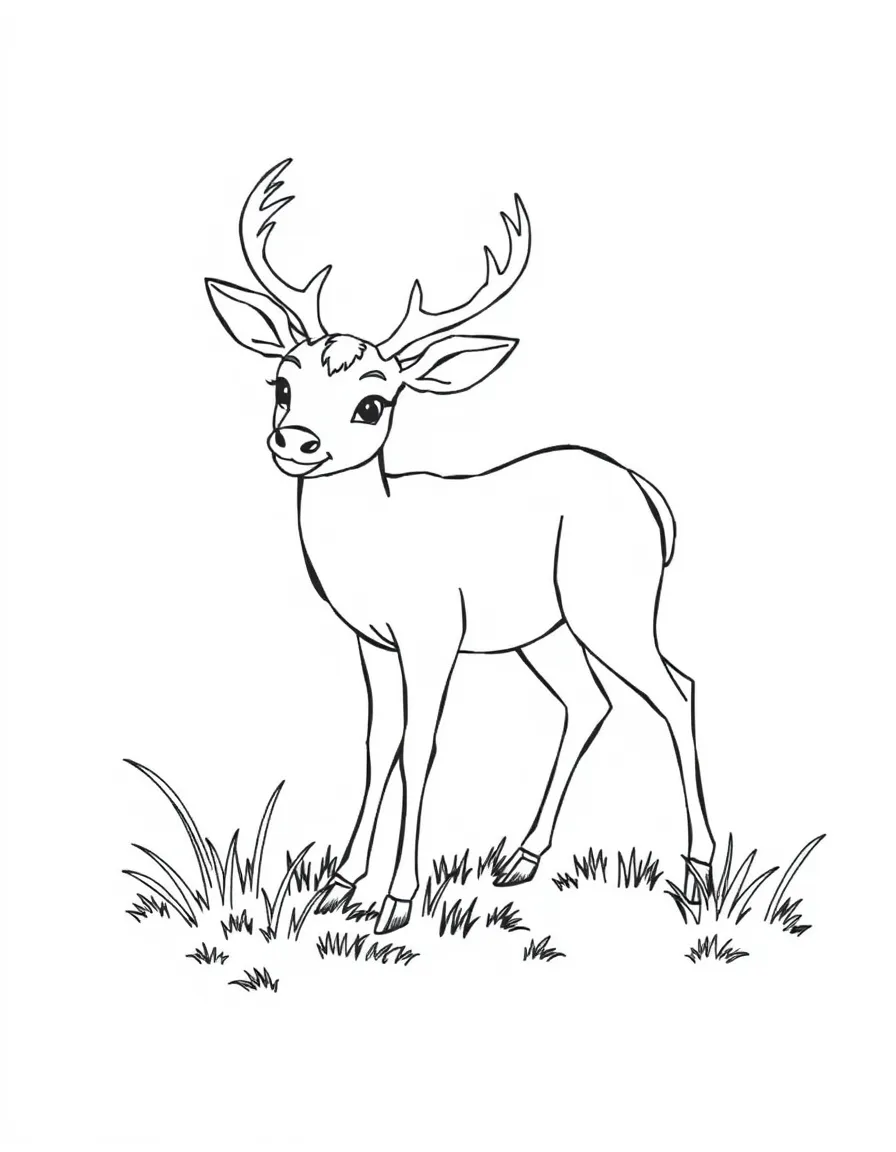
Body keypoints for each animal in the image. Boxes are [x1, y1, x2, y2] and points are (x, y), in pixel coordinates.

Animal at [205, 159, 716, 934]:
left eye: (373, 403)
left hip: (613, 607)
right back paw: (522, 858)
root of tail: (648, 496)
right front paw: (339, 881)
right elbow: (378, 741)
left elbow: (422, 746)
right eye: (282, 382)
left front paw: (394, 900)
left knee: (676, 690)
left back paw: (697, 868)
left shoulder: (434, 632)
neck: (379, 543)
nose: (296, 442)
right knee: (590, 702)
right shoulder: (373, 640)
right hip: (546, 631)